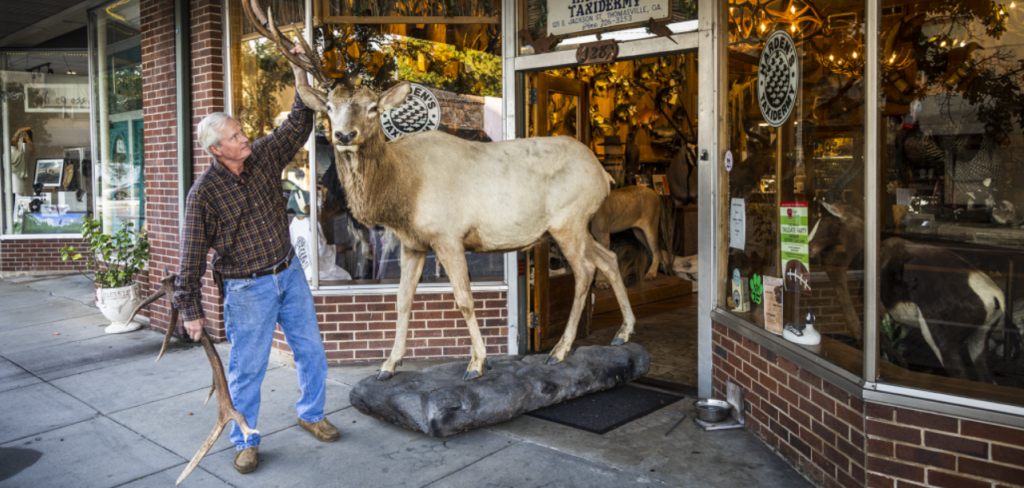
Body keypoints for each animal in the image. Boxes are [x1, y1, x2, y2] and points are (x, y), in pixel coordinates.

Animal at [244, 0, 634, 380]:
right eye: (328, 106)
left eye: (372, 108)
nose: (343, 135)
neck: (402, 193)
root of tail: (604, 175)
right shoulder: (413, 243)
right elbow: (402, 299)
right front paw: (389, 365)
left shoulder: (447, 234)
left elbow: (464, 299)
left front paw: (477, 363)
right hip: (576, 224)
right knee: (608, 258)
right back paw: (622, 332)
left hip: (568, 219)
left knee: (585, 271)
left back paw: (560, 351)